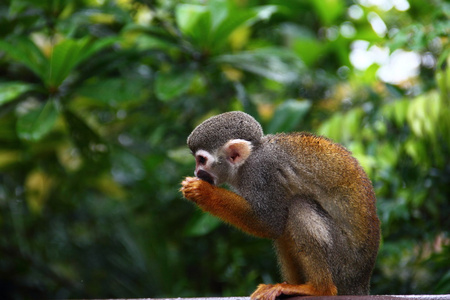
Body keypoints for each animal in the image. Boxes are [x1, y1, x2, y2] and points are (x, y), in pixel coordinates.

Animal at [180, 110, 380, 300]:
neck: (250, 158)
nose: (197, 172)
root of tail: (360, 282)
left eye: (201, 160)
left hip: (343, 265)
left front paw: (203, 192)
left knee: (298, 206)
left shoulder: (261, 174)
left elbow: (270, 223)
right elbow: (276, 226)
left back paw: (319, 288)